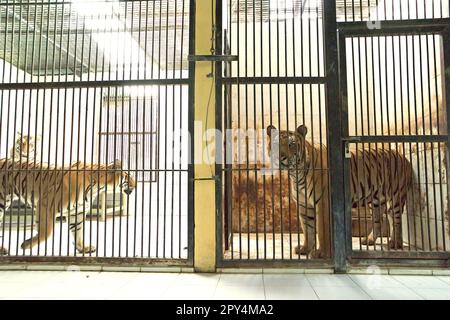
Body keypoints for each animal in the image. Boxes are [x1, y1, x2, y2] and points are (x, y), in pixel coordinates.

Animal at [0, 158, 135, 255]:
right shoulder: (46, 205)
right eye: (129, 176)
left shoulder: (77, 212)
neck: (97, 187)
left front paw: (83, 248)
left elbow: (78, 230)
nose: (136, 185)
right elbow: (46, 232)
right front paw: (26, 245)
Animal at [268, 124, 418, 258]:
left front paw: (321, 253)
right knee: (379, 219)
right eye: (275, 144)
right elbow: (308, 229)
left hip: (396, 196)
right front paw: (305, 249)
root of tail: (402, 155)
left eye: (291, 144)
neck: (296, 173)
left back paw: (395, 243)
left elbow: (321, 230)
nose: (280, 157)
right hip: (375, 200)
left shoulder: (322, 203)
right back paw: (369, 240)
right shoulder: (304, 205)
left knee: (395, 219)